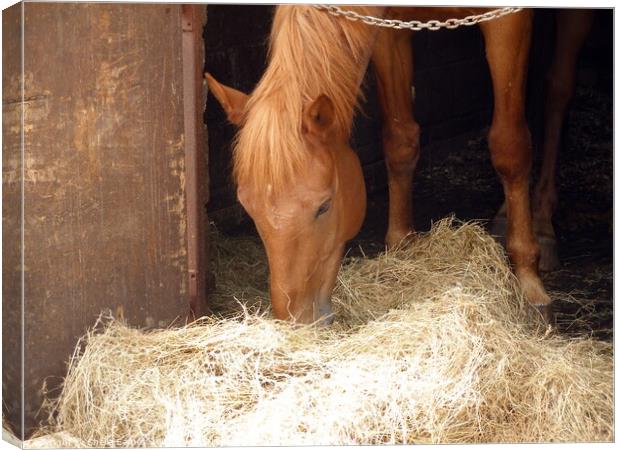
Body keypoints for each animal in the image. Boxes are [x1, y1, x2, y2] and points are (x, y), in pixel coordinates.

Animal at [207, 5, 552, 326]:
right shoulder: (389, 30)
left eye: (324, 206)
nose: (298, 321)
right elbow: (400, 141)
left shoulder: (508, 19)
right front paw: (401, 247)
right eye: (249, 209)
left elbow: (510, 147)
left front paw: (528, 280)